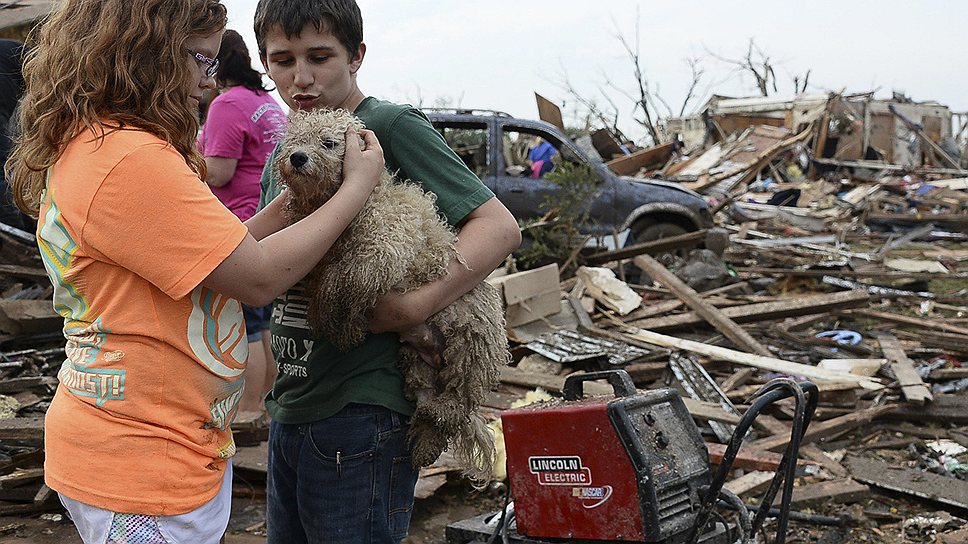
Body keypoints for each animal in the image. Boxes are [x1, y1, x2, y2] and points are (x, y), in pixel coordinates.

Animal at [272, 109, 506, 480]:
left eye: (329, 142)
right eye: (295, 141)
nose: (297, 157)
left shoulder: (384, 248)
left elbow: (345, 282)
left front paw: (343, 326)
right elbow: (327, 282)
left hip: (472, 344)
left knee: (459, 400)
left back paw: (444, 413)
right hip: (413, 358)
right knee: (427, 403)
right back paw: (426, 438)